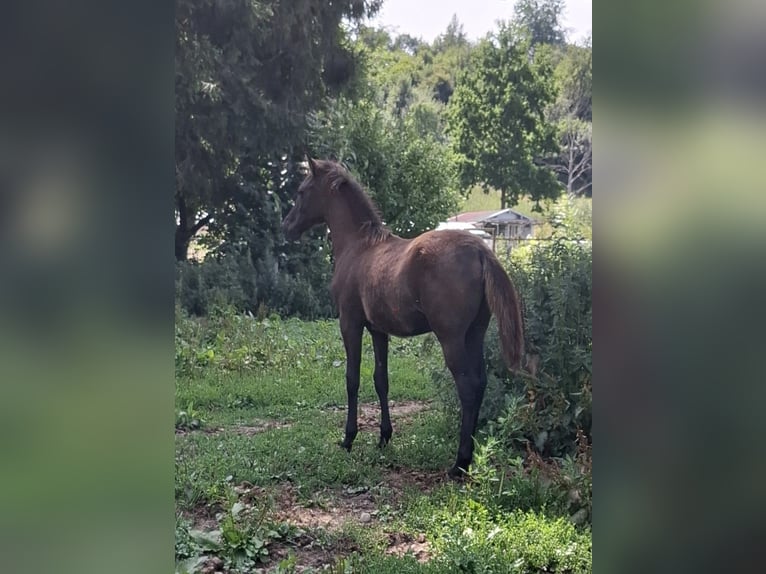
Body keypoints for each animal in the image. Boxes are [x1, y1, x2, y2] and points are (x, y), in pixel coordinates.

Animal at [281, 157, 524, 477]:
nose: (287, 227)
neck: (359, 246)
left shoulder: (350, 323)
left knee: (468, 386)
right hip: (475, 333)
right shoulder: (378, 330)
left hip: (451, 338)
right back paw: (468, 458)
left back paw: (459, 463)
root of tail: (481, 251)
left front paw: (348, 438)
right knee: (481, 383)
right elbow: (381, 379)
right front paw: (384, 437)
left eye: (301, 191)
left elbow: (352, 378)